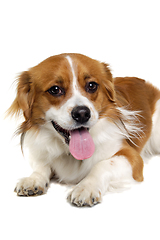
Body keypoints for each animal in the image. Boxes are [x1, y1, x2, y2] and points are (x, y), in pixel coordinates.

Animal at [8, 54, 160, 206]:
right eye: (55, 89)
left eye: (92, 86)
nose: (82, 113)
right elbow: (41, 165)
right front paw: (34, 179)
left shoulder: (132, 157)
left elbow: (102, 165)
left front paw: (86, 187)